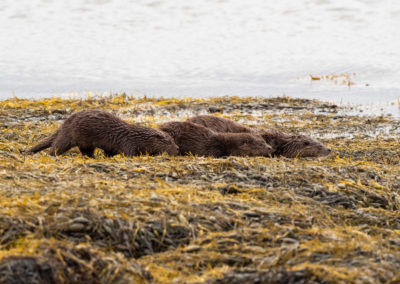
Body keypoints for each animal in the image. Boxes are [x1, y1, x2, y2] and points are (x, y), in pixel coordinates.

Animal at [26, 109, 178, 158]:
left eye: (173, 140)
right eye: (169, 142)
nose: (177, 148)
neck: (137, 137)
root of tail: (65, 123)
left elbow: (109, 152)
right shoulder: (128, 144)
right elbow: (129, 154)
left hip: (85, 142)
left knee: (86, 151)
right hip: (69, 135)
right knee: (56, 147)